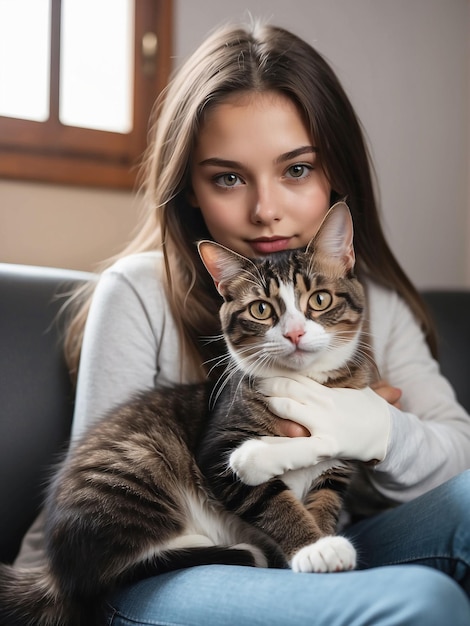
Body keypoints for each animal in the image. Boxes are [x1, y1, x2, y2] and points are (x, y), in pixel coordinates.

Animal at [0, 202, 374, 620]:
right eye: (261, 309)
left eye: (320, 300)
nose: (294, 333)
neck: (305, 382)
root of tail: (54, 570)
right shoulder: (216, 450)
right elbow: (271, 500)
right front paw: (314, 546)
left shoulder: (337, 464)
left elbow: (325, 498)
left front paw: (324, 536)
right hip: (134, 463)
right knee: (110, 572)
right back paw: (233, 548)